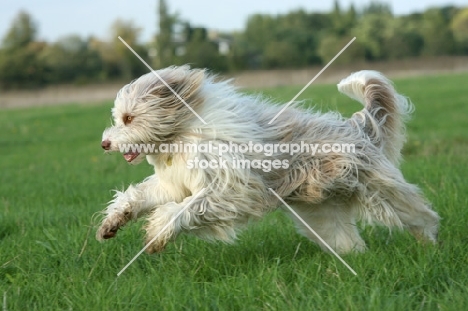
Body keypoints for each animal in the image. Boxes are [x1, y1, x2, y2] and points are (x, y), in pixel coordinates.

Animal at [97, 67, 440, 255]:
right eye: (119, 117)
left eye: (129, 118)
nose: (105, 143)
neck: (182, 136)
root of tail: (357, 127)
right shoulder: (176, 183)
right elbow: (145, 195)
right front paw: (113, 221)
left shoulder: (233, 189)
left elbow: (187, 208)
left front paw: (157, 231)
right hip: (322, 212)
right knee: (344, 237)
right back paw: (356, 257)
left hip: (378, 189)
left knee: (419, 215)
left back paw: (431, 246)